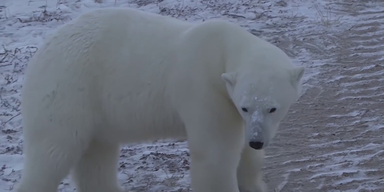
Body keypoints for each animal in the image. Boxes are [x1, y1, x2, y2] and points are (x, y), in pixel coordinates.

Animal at [18, 6, 304, 192]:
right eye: (246, 106)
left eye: (272, 108)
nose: (257, 141)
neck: (222, 46)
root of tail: (42, 51)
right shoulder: (205, 90)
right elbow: (215, 154)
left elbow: (246, 158)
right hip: (69, 90)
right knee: (53, 151)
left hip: (97, 111)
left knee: (96, 156)